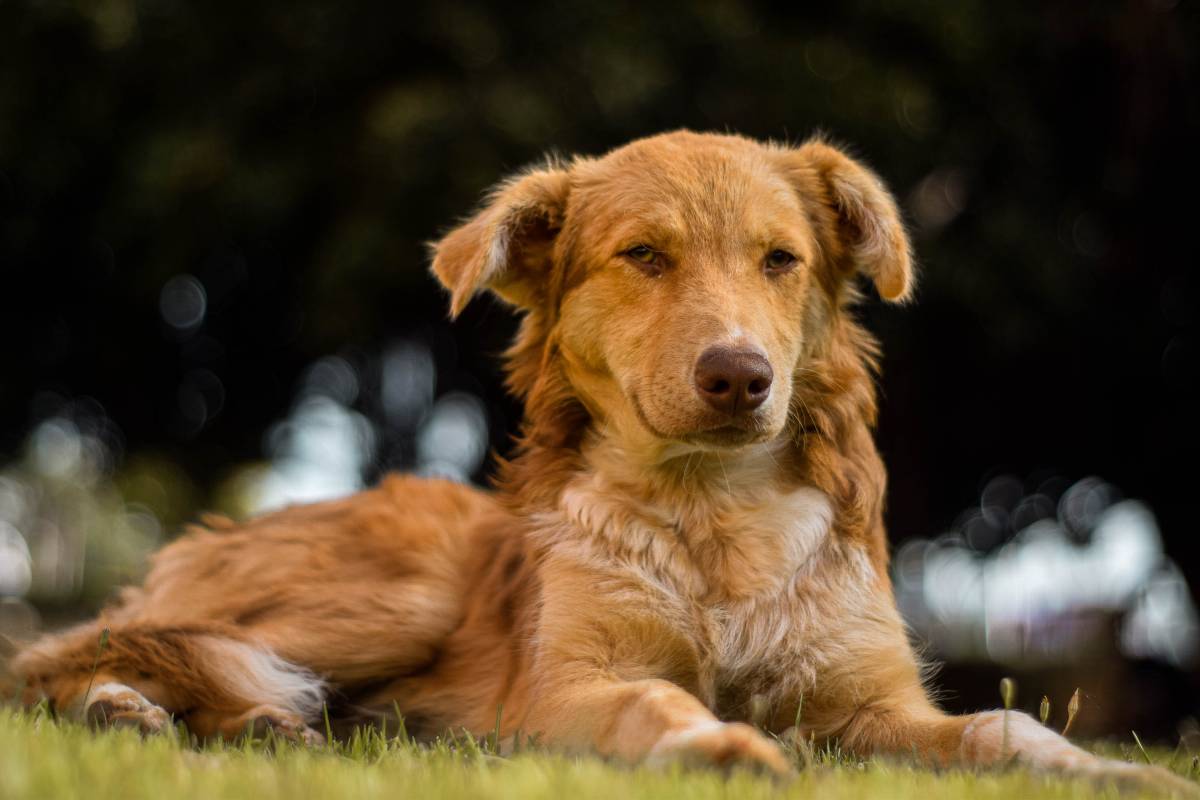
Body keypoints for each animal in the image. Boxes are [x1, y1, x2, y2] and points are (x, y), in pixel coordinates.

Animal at [7, 131, 1190, 796]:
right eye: (645, 256)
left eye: (780, 259)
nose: (740, 376)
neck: (714, 518)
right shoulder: (569, 685)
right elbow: (658, 704)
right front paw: (720, 748)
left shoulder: (866, 705)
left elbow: (1006, 724)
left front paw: (1113, 771)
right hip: (397, 597)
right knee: (60, 653)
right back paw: (129, 710)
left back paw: (249, 725)